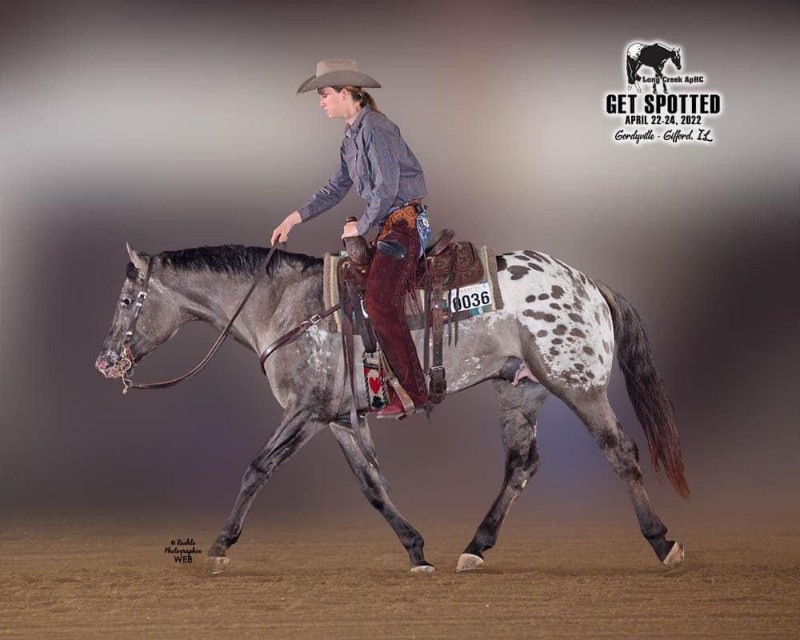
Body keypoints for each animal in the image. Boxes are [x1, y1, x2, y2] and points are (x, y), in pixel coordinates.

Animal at [95, 243, 689, 574]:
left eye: (126, 300)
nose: (104, 361)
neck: (286, 305)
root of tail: (587, 283)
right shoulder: (338, 420)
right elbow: (373, 487)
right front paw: (417, 551)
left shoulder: (306, 411)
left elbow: (257, 469)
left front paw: (220, 546)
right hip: (520, 391)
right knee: (522, 465)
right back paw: (475, 548)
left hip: (578, 385)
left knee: (620, 451)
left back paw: (663, 543)